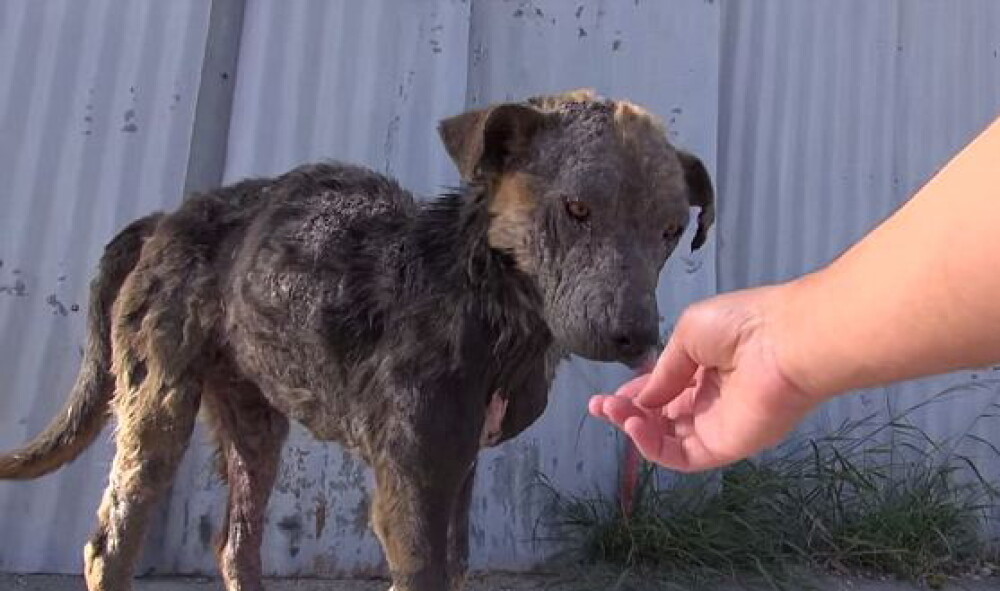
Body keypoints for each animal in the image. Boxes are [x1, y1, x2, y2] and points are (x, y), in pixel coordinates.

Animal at [3, 89, 716, 591]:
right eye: (575, 209)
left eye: (671, 230)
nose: (637, 338)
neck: (480, 295)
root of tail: (166, 219)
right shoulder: (410, 488)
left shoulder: (456, 470)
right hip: (157, 404)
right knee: (110, 544)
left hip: (255, 420)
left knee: (235, 545)